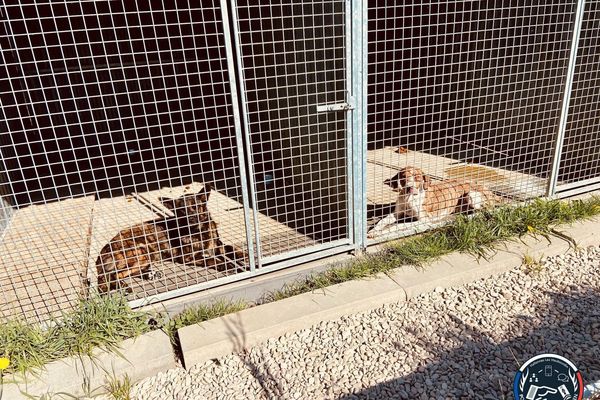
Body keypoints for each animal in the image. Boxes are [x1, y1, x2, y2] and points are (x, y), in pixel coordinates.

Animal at [370, 166, 502, 238]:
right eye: (403, 177)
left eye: (417, 178)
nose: (409, 187)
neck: (409, 198)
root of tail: (491, 192)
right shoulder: (396, 214)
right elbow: (382, 221)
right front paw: (373, 231)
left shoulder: (423, 220)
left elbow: (399, 225)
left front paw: (383, 232)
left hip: (471, 195)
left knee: (486, 210)